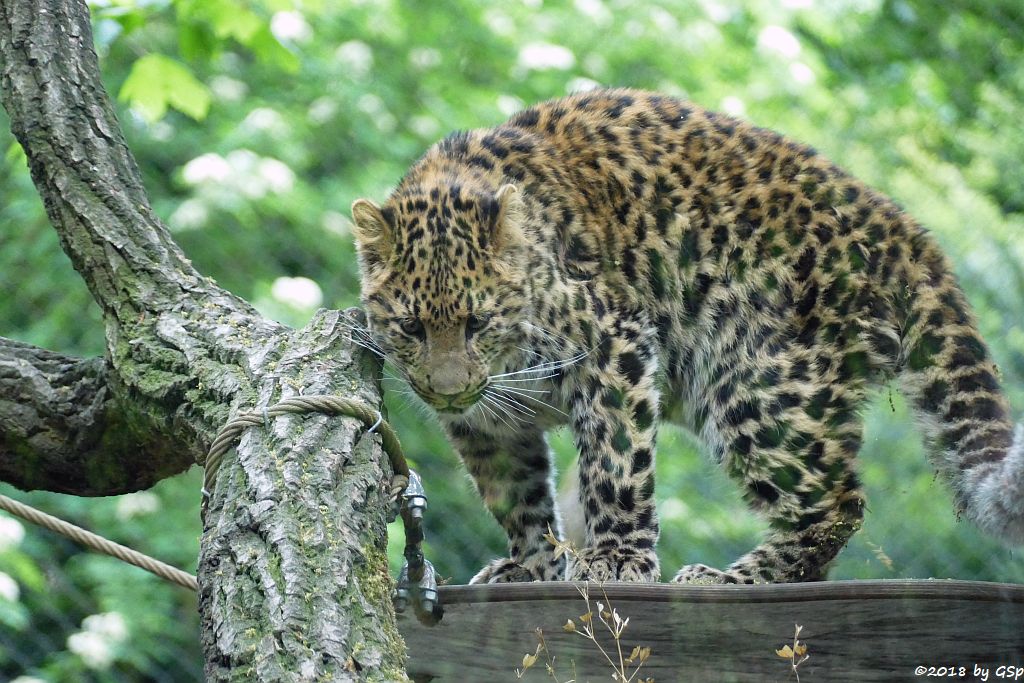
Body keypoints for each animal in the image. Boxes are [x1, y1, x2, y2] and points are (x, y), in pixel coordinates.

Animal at [346, 88, 1024, 585]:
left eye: (478, 322)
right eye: (411, 327)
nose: (448, 390)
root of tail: (901, 230)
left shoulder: (612, 347)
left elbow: (614, 465)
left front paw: (616, 562)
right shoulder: (487, 426)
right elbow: (517, 496)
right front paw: (532, 566)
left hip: (755, 383)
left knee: (837, 502)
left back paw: (732, 579)